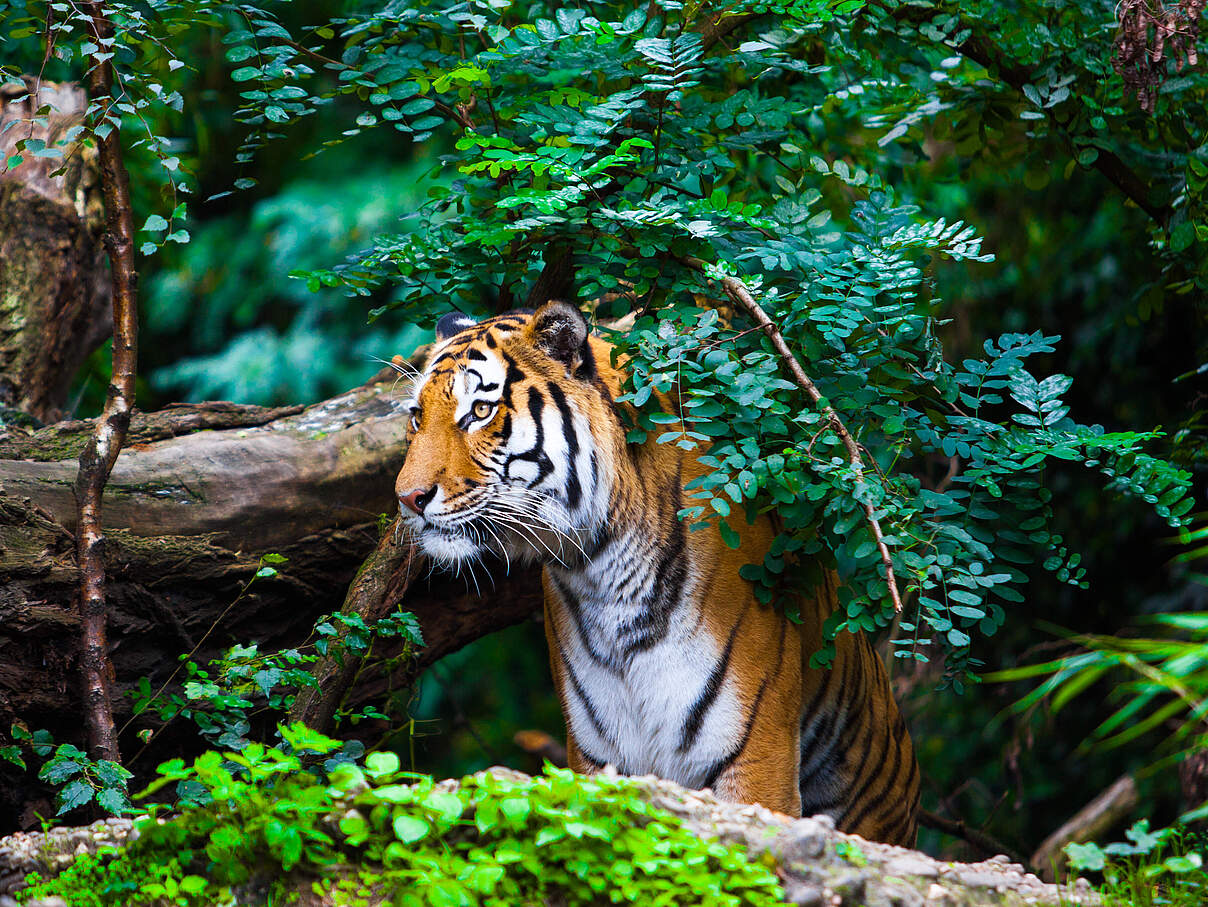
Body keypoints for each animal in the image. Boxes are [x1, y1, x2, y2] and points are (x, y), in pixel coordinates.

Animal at [394, 300, 920, 845]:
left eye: (480, 411)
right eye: (417, 416)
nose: (407, 498)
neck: (601, 572)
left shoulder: (756, 757)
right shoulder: (600, 756)